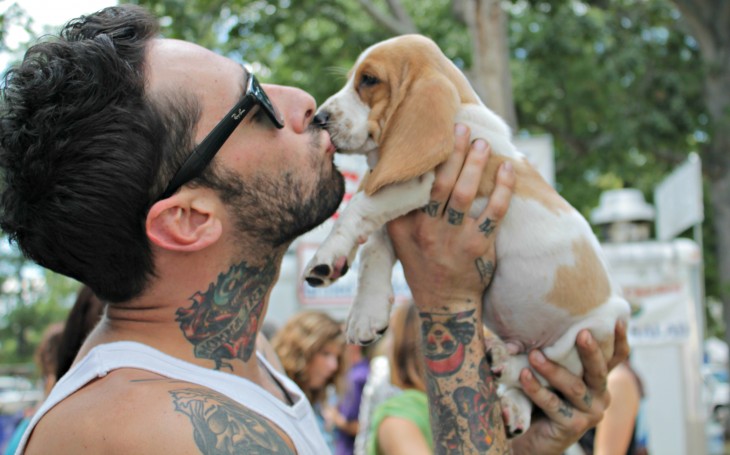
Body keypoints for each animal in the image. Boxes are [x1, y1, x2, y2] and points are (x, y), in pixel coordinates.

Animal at [304, 33, 628, 436]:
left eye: (369, 80)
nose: (318, 119)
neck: (460, 110)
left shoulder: (417, 184)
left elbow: (357, 209)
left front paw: (323, 257)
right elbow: (374, 248)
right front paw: (365, 311)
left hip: (596, 329)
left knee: (542, 368)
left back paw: (507, 363)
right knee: (532, 381)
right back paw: (513, 403)